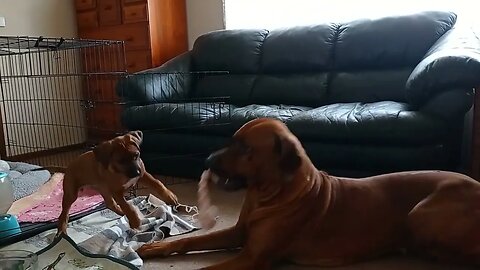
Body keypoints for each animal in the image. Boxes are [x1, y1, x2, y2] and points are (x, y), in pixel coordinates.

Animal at [136, 118, 480, 270]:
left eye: (245, 148)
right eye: (231, 140)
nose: (207, 161)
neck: (269, 195)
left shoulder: (253, 256)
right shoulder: (238, 233)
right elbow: (191, 240)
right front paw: (156, 248)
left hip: (419, 212)